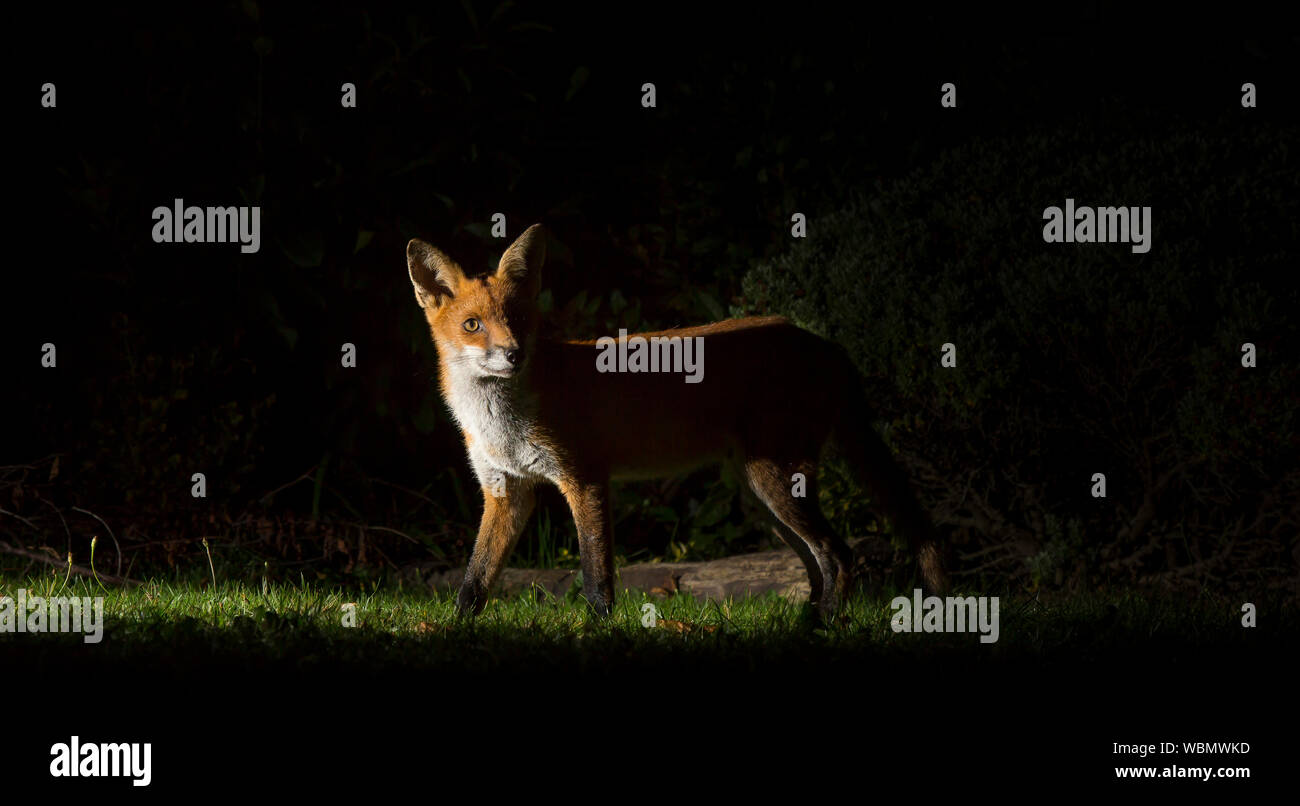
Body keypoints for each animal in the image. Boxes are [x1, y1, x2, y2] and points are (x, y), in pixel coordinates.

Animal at [405, 223, 946, 621]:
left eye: (518, 318)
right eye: (473, 325)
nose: (515, 354)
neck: (503, 421)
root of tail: (822, 342)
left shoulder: (584, 479)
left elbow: (595, 577)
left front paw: (598, 632)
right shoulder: (506, 491)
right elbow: (474, 581)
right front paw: (455, 632)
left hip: (776, 483)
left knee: (839, 555)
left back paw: (825, 626)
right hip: (763, 497)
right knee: (817, 564)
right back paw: (806, 623)